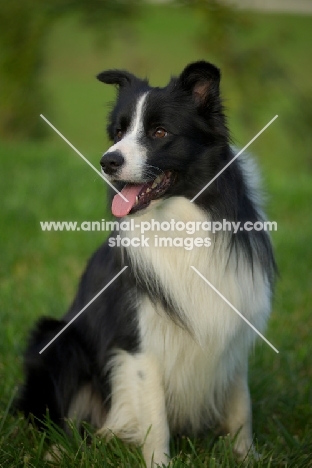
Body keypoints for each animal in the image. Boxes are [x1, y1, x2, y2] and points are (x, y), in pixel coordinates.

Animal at [16, 61, 276, 464]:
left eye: (159, 132)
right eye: (118, 132)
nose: (108, 161)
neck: (179, 222)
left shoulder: (230, 320)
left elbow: (240, 407)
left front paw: (245, 456)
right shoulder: (138, 342)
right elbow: (155, 417)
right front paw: (159, 463)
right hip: (56, 340)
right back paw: (57, 452)